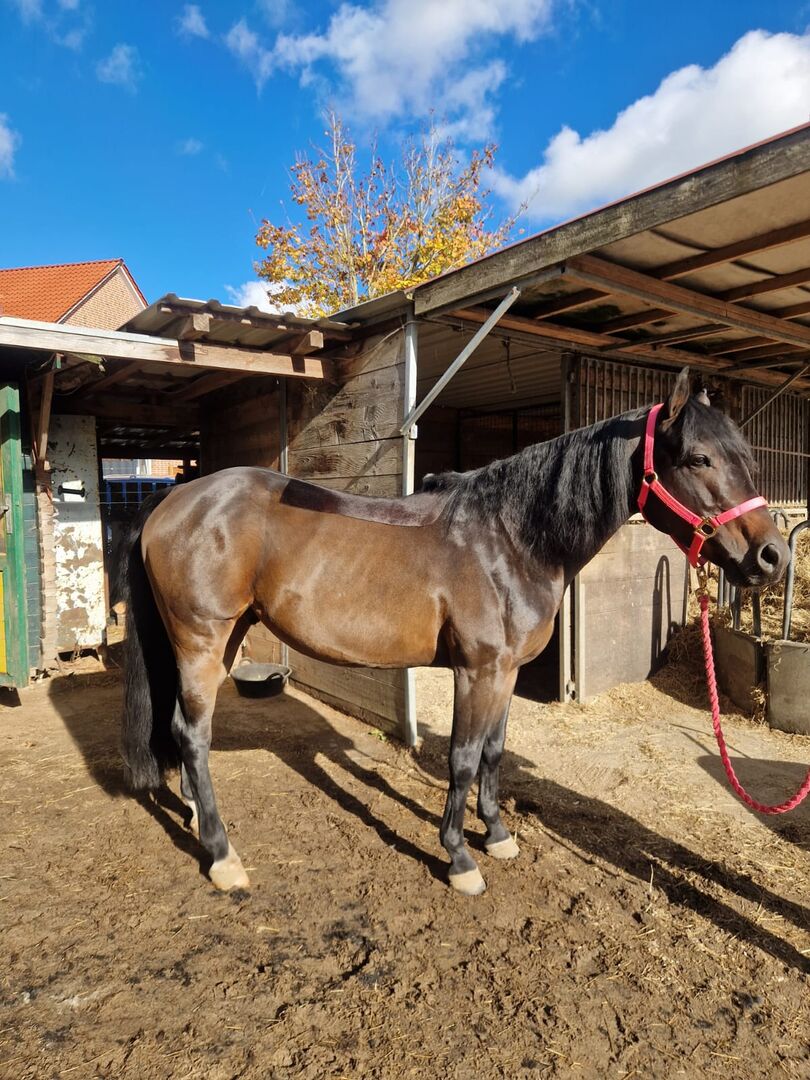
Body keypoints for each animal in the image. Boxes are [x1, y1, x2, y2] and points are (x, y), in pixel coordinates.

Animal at [120, 369, 789, 896]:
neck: (511, 539)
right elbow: (463, 759)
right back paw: (222, 856)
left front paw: (497, 834)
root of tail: (174, 498)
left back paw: (193, 816)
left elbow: (494, 752)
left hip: (225, 639)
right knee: (192, 734)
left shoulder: (507, 672)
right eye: (698, 458)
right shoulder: (478, 670)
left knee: (183, 733)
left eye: (747, 457)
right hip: (201, 641)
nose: (773, 557)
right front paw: (460, 857)